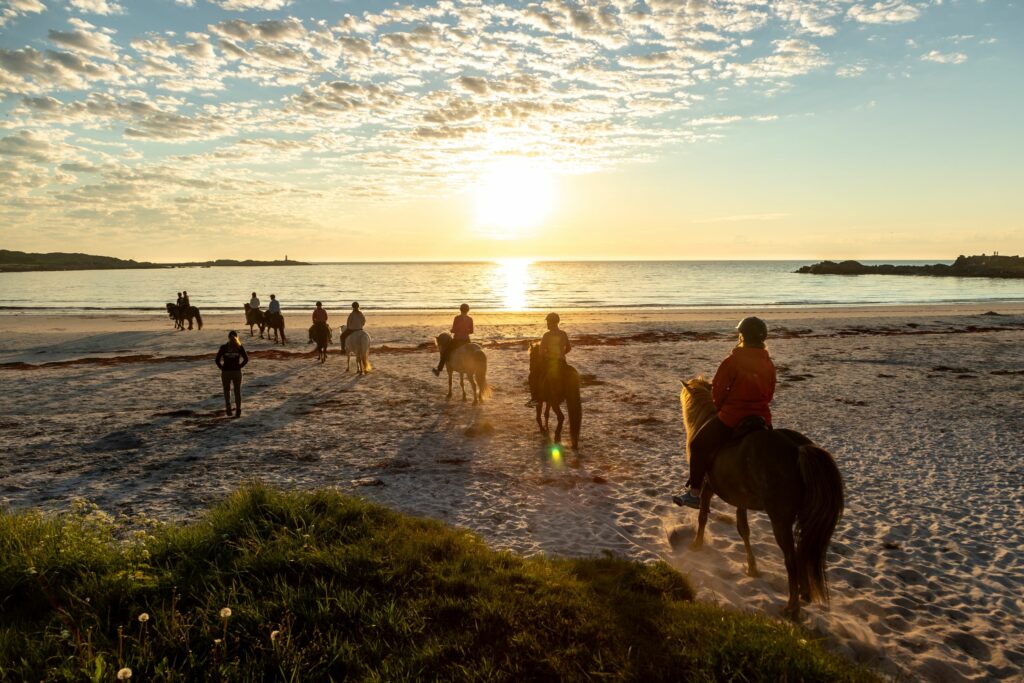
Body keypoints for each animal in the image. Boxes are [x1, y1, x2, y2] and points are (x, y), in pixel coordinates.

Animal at [679, 376, 839, 622]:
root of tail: (799, 449)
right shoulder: (740, 499)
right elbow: (743, 530)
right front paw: (752, 567)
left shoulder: (706, 488)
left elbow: (703, 516)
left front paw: (696, 545)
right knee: (802, 552)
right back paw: (804, 593)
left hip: (780, 519)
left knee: (791, 559)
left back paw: (792, 608)